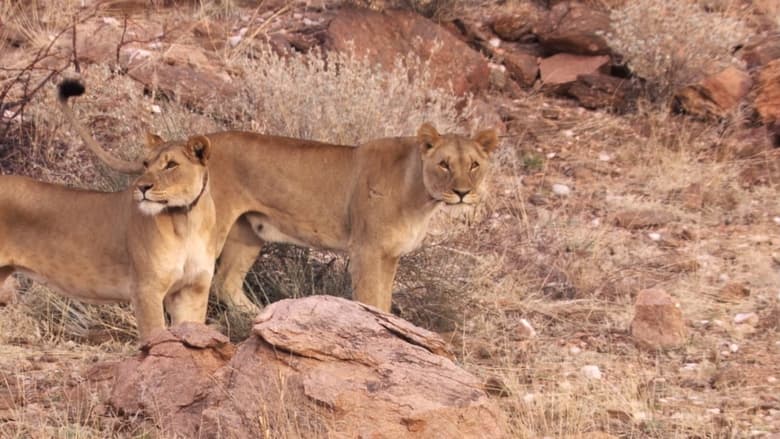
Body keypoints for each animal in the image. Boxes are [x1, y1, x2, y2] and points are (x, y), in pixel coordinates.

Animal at [0, 116, 218, 341]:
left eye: (171, 165)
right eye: (146, 164)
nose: (141, 187)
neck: (185, 220)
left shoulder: (192, 291)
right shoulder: (146, 289)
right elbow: (155, 336)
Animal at [58, 79, 499, 313]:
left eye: (475, 165)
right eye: (445, 164)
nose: (463, 192)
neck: (422, 196)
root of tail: (188, 144)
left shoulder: (389, 256)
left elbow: (384, 300)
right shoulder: (369, 251)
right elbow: (372, 300)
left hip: (248, 234)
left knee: (226, 285)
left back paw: (259, 316)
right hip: (215, 232)